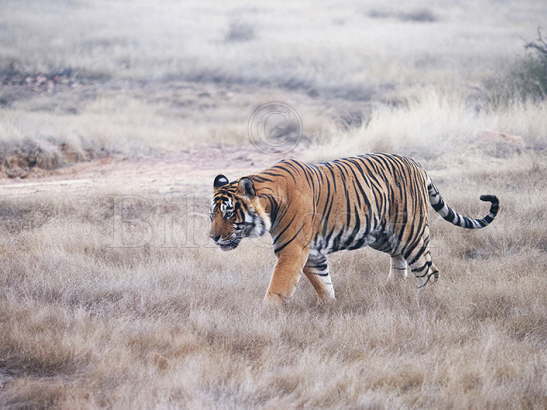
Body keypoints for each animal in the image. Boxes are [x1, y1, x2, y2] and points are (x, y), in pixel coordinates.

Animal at [210, 152, 500, 302]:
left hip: (411, 233)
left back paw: (425, 301)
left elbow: (278, 288)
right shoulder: (312, 253)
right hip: (383, 236)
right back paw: (392, 288)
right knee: (400, 261)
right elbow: (323, 284)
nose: (213, 238)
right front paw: (330, 307)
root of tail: (416, 163)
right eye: (212, 215)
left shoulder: (292, 250)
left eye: (229, 213)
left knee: (429, 271)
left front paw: (266, 313)